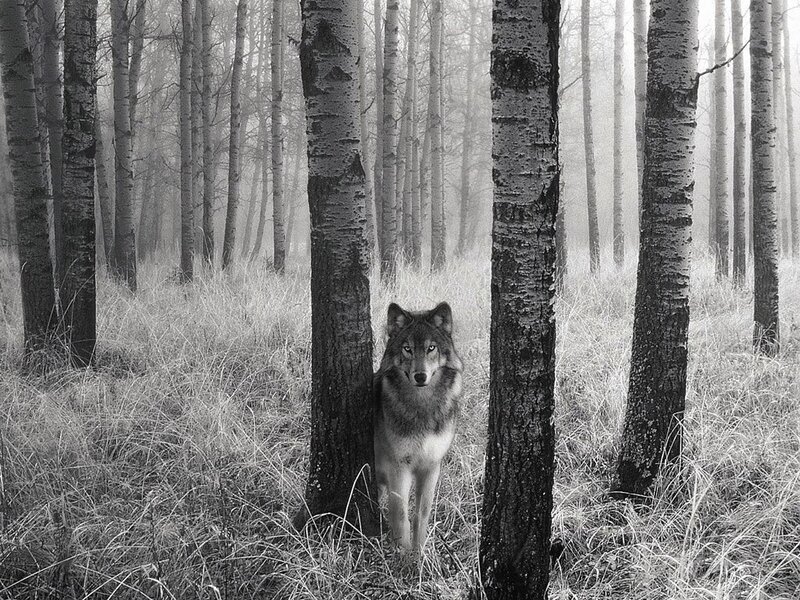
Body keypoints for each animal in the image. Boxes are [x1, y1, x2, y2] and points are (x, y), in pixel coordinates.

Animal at [374, 302, 463, 552]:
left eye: (431, 348)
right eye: (407, 349)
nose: (420, 376)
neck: (422, 407)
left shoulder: (431, 466)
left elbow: (421, 515)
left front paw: (419, 554)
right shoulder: (399, 467)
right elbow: (401, 516)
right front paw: (403, 557)